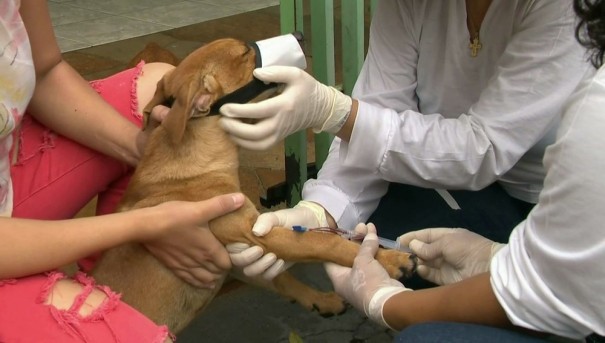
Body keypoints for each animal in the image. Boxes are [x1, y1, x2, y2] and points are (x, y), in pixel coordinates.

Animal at [92, 38, 416, 336]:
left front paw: (320, 299)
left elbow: (279, 277)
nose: (300, 34)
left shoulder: (235, 256)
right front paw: (389, 260)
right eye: (245, 52)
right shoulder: (250, 233)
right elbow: (324, 242)